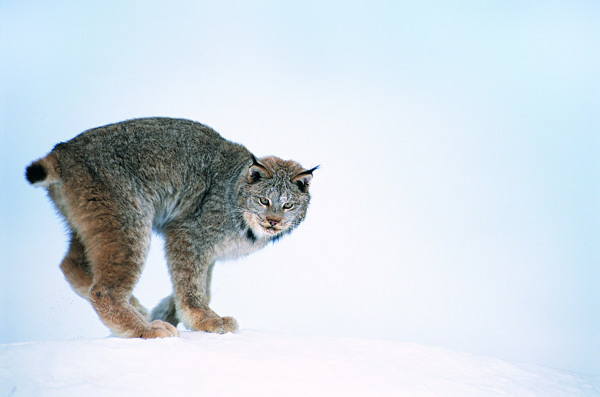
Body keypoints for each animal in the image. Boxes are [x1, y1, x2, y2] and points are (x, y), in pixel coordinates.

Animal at [25, 117, 318, 338]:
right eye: (264, 200)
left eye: (288, 205)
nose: (273, 222)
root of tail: (64, 149)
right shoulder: (187, 233)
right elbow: (191, 282)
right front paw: (203, 320)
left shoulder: (205, 250)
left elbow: (201, 284)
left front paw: (170, 311)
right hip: (131, 220)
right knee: (102, 289)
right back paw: (145, 330)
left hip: (92, 221)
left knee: (70, 263)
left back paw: (140, 310)